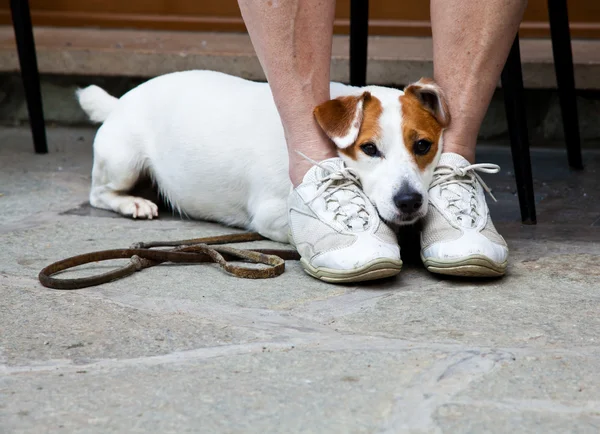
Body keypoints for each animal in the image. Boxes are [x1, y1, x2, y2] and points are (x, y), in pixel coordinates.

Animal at [76, 69, 450, 242]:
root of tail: (118, 101)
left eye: (423, 146)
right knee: (98, 194)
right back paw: (133, 203)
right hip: (123, 161)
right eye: (369, 148)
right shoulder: (271, 215)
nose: (409, 201)